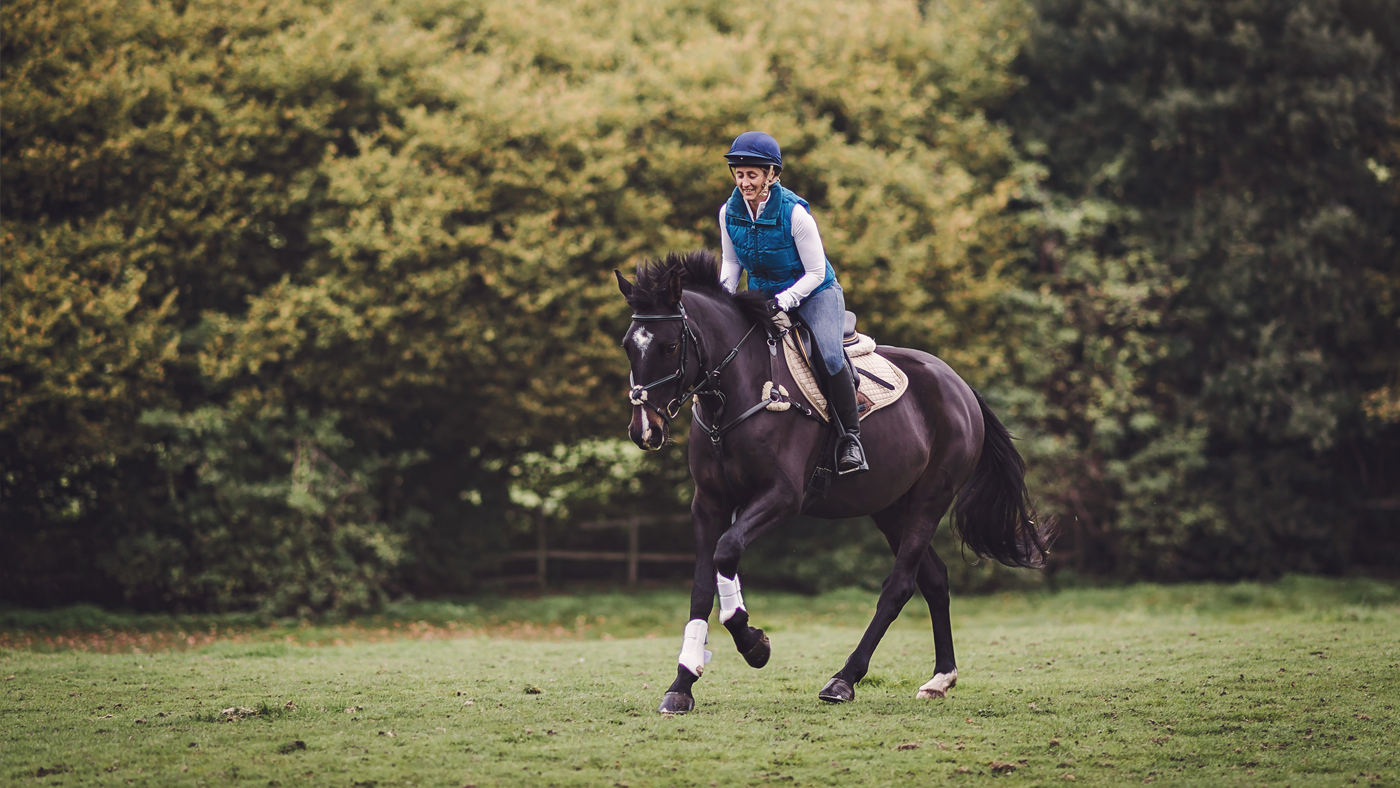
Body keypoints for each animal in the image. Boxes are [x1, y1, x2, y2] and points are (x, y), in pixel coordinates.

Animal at [615, 250, 1052, 714]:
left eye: (669, 346)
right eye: (628, 346)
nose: (644, 430)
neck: (738, 392)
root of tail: (959, 383)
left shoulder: (782, 497)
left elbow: (727, 552)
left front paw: (754, 644)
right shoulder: (710, 502)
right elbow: (703, 584)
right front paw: (683, 682)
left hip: (930, 500)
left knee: (899, 586)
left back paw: (844, 678)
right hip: (890, 508)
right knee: (934, 579)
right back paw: (941, 677)